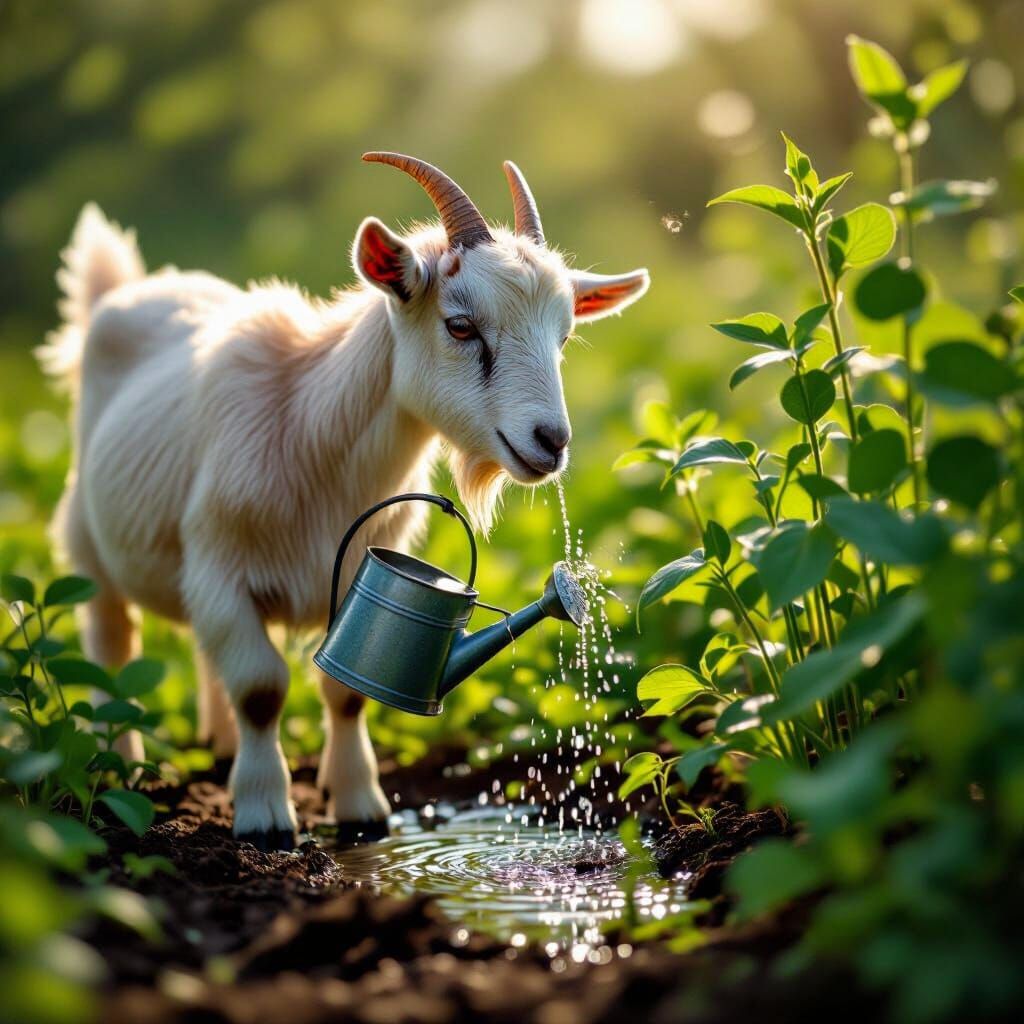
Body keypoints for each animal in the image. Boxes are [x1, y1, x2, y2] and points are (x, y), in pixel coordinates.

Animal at [39, 153, 649, 849]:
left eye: (565, 335)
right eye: (460, 325)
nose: (551, 441)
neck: (308, 428)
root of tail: (119, 292)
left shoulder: (356, 568)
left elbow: (346, 693)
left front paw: (361, 806)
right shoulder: (221, 571)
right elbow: (261, 689)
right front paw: (265, 817)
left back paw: (218, 747)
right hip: (88, 546)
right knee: (112, 646)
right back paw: (117, 768)